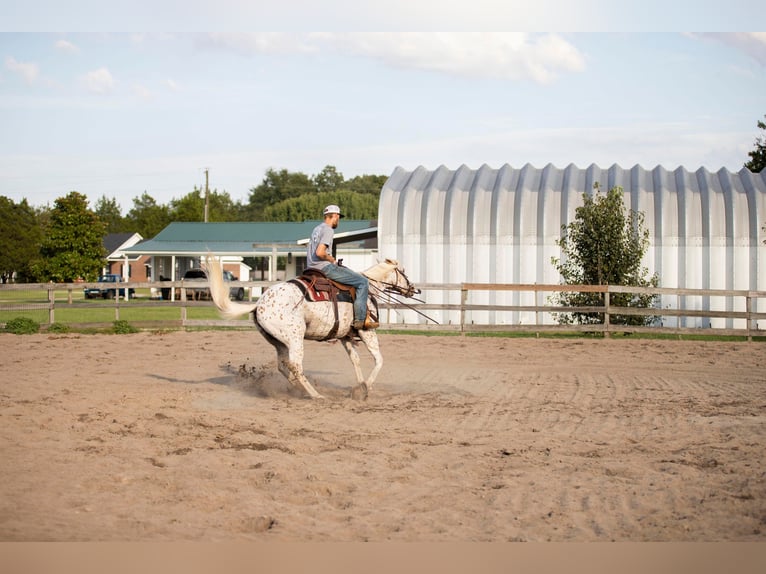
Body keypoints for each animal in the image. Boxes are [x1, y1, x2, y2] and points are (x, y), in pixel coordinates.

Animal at [204, 256, 420, 400]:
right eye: (404, 272)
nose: (414, 289)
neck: (369, 289)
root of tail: (259, 304)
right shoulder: (367, 331)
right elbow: (379, 360)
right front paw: (366, 388)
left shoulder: (345, 337)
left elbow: (355, 360)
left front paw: (359, 387)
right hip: (295, 338)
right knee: (296, 365)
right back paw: (316, 395)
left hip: (279, 342)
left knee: (283, 365)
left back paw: (297, 389)